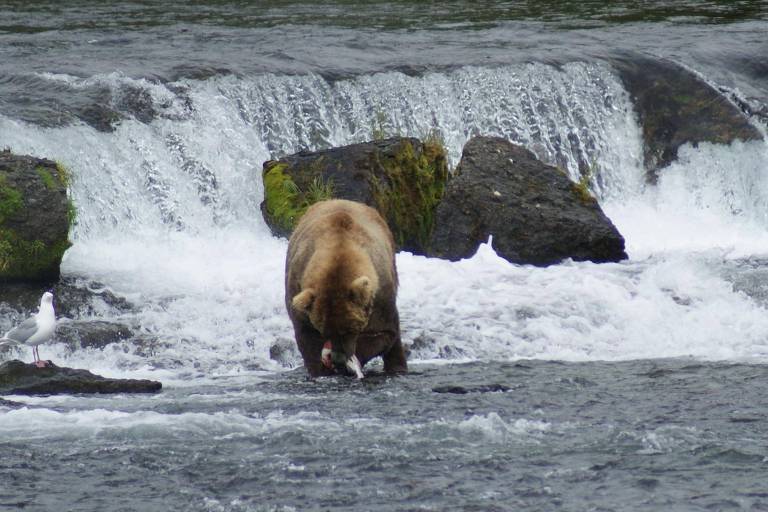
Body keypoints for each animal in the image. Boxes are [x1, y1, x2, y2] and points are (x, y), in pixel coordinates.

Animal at [284, 198, 408, 378]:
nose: (338, 357)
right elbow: (307, 339)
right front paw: (321, 370)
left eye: (349, 330)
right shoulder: (298, 287)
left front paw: (348, 363)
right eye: (324, 330)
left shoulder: (380, 298)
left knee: (395, 342)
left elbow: (383, 333)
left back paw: (398, 367)